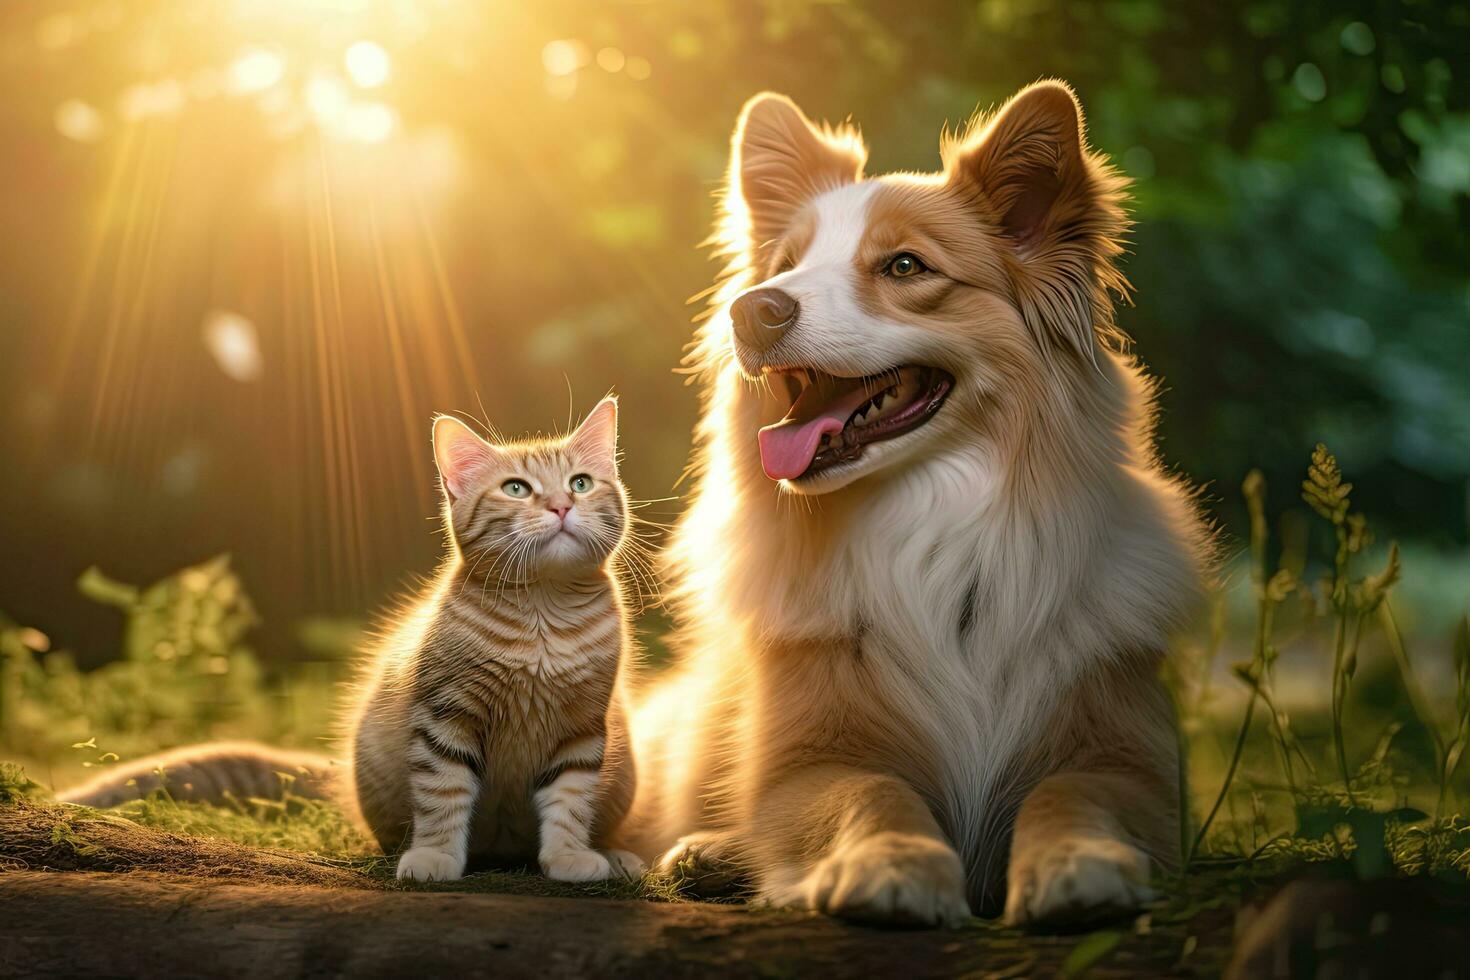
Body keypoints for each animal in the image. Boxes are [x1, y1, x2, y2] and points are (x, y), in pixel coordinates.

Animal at [346, 393, 646, 887]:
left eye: (580, 483)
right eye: (517, 489)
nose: (562, 506)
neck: (544, 617)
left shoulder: (582, 727)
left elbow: (570, 800)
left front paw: (568, 856)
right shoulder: (445, 717)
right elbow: (442, 795)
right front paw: (434, 856)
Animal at [626, 78, 1211, 928]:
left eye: (904, 266)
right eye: (786, 266)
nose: (752, 309)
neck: (933, 526)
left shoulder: (1132, 764)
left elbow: (1073, 794)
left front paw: (1077, 863)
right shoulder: (810, 760)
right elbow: (873, 790)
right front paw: (891, 863)